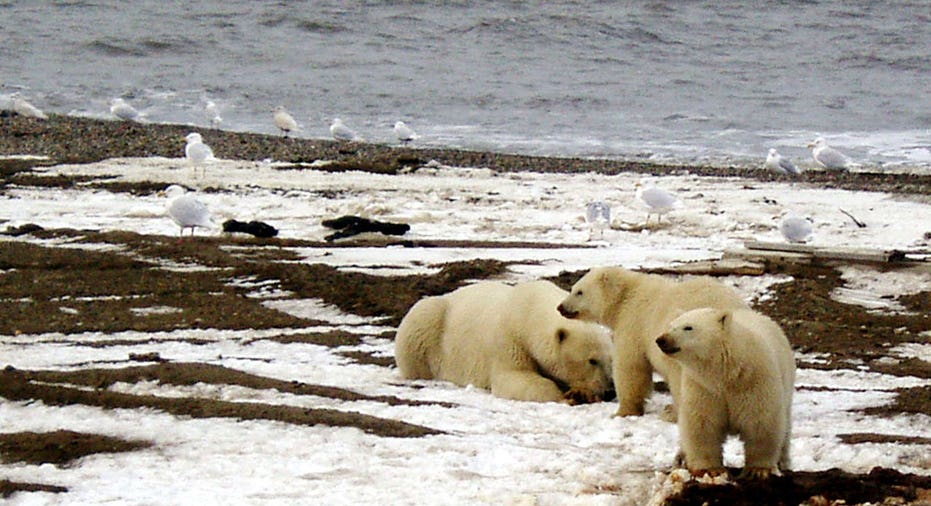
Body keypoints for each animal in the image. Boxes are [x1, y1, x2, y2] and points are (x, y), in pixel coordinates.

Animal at [396, 280, 616, 404]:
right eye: (592, 360)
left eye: (610, 360)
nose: (609, 391)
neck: (529, 310)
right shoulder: (509, 339)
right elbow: (513, 378)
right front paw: (566, 397)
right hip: (429, 324)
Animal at [556, 266, 748, 418]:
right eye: (573, 288)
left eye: (579, 292)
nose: (560, 307)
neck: (626, 295)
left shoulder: (634, 323)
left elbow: (631, 366)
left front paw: (623, 412)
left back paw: (673, 413)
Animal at [656, 308, 792, 478]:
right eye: (671, 325)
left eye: (688, 327)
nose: (661, 339)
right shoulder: (703, 387)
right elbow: (702, 423)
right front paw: (710, 469)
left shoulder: (755, 381)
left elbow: (760, 421)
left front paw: (758, 469)